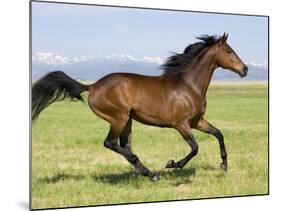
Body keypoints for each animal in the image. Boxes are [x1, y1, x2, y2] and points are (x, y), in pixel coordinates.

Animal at [32, 33, 247, 181]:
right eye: (228, 51)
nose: (244, 69)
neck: (189, 85)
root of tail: (92, 86)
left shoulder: (197, 122)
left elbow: (219, 134)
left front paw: (224, 165)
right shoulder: (181, 124)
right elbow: (195, 148)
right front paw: (172, 164)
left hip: (127, 121)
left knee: (124, 146)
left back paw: (148, 173)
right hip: (118, 118)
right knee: (111, 143)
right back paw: (151, 173)